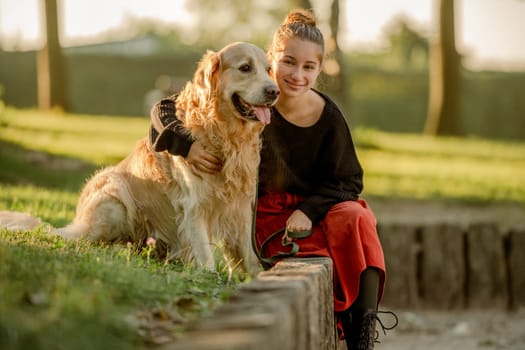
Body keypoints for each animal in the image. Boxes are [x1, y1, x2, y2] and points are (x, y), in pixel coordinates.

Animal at [0, 41, 278, 274]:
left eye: (268, 70)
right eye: (245, 68)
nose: (274, 91)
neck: (223, 133)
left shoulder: (242, 207)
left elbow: (249, 254)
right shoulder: (193, 206)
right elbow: (205, 256)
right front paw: (209, 278)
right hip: (115, 196)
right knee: (83, 242)